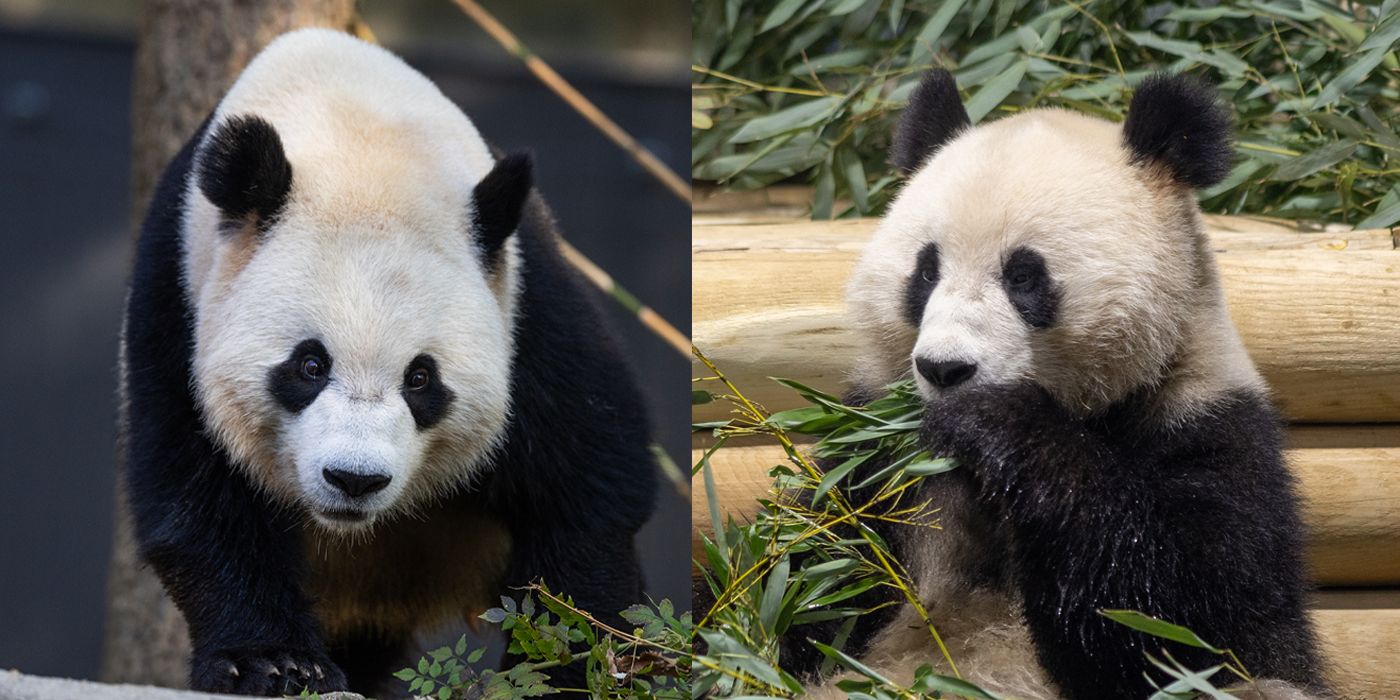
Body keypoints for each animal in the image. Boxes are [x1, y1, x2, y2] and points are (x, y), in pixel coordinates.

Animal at [119, 27, 655, 694]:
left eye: (421, 378)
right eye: (310, 366)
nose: (354, 479)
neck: (361, 136)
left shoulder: (530, 310)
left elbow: (589, 480)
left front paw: (572, 664)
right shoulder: (177, 298)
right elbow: (198, 497)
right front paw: (273, 663)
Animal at [784, 69, 1327, 700]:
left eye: (1023, 275)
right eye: (925, 271)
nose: (946, 369)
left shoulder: (1207, 420)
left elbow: (1189, 616)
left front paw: (998, 422)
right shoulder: (873, 464)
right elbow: (806, 581)